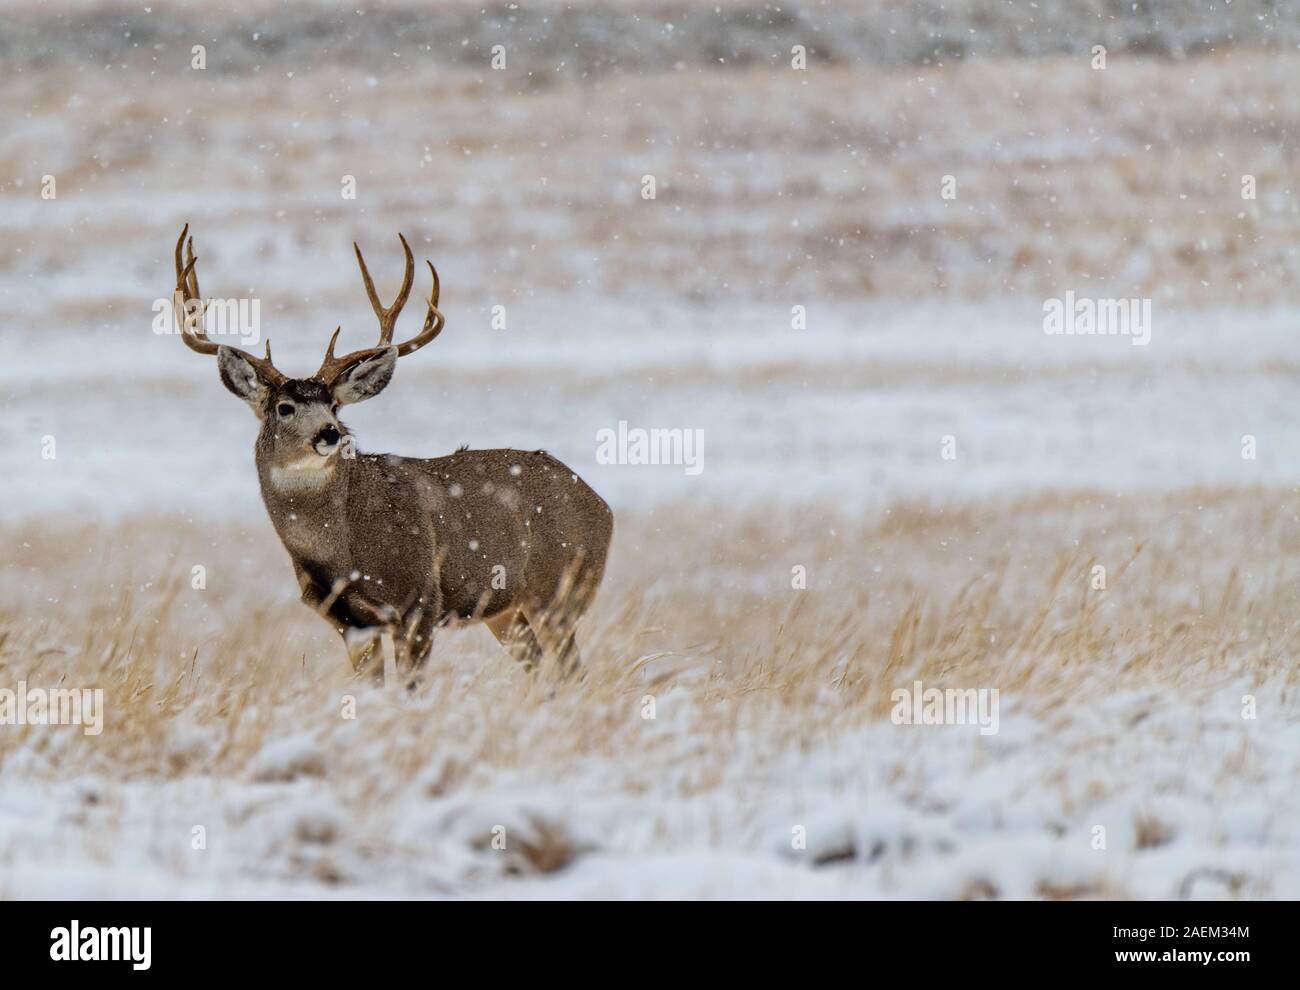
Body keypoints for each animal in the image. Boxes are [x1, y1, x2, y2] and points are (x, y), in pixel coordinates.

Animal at [171, 226, 613, 680]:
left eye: (334, 406)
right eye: (285, 407)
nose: (330, 433)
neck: (340, 550)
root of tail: (602, 505)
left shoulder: (419, 602)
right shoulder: (349, 622)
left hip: (559, 590)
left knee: (572, 671)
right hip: (506, 611)